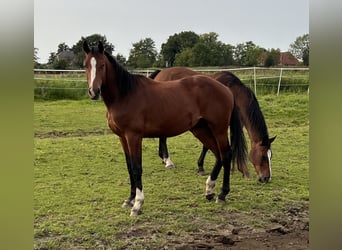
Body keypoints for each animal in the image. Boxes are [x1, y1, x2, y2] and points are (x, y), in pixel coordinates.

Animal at [83, 40, 248, 216]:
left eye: (102, 65)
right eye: (85, 65)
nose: (94, 91)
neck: (125, 95)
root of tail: (226, 89)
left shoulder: (134, 136)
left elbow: (136, 168)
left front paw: (138, 204)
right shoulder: (122, 137)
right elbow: (129, 167)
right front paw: (129, 199)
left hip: (219, 129)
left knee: (226, 154)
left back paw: (222, 194)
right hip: (201, 129)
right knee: (218, 154)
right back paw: (209, 191)